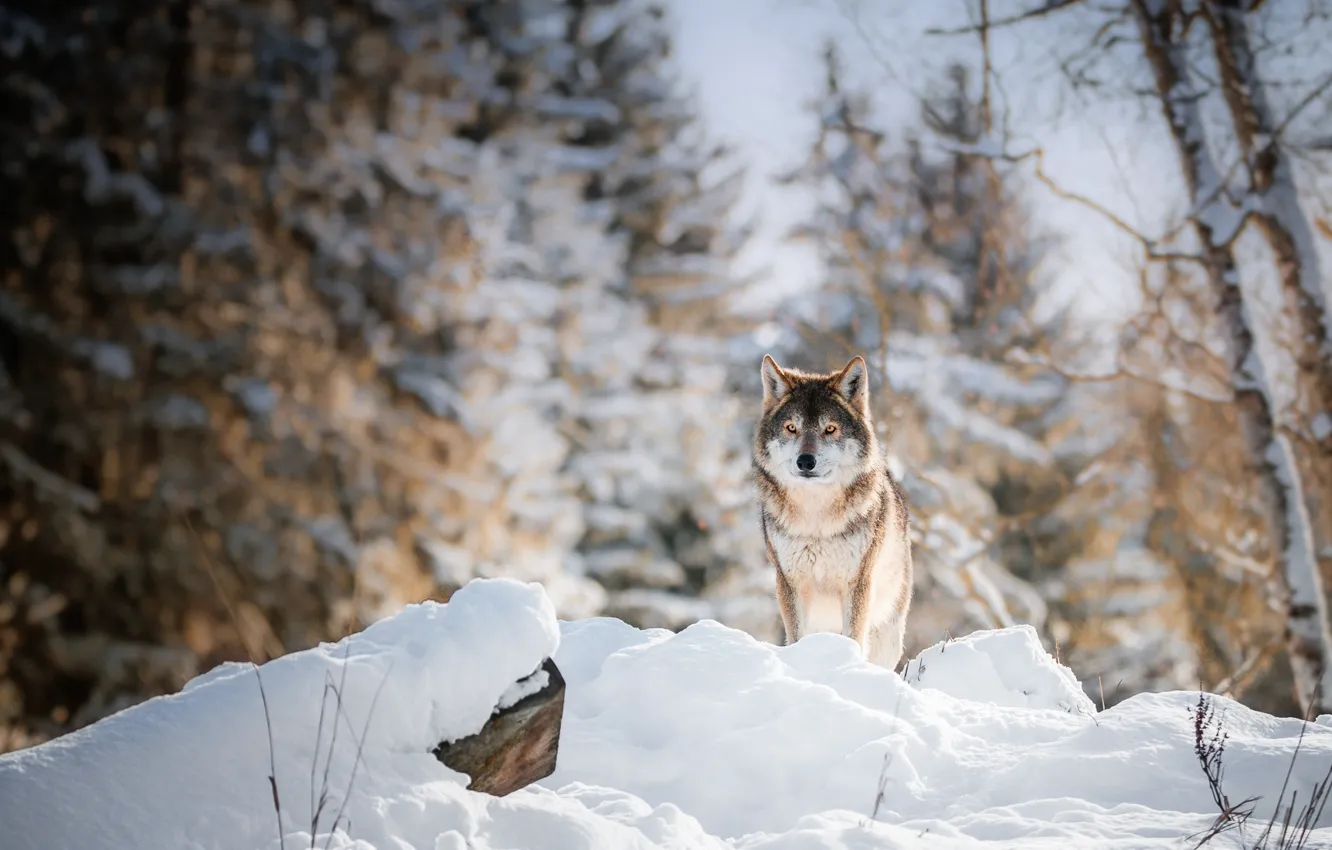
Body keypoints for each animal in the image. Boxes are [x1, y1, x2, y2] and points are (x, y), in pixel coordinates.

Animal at [752, 354, 914, 670]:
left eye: (830, 429)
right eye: (791, 428)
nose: (805, 461)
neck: (817, 519)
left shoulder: (857, 583)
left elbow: (854, 638)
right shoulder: (790, 582)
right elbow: (796, 637)